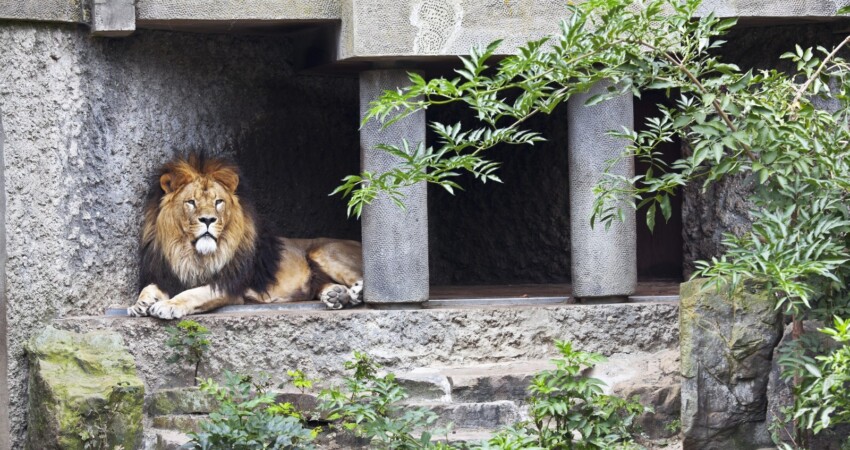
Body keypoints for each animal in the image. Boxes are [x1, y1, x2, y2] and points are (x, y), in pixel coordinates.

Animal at [127, 155, 362, 320]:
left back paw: (356, 292)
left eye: (218, 202)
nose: (208, 220)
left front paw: (168, 306)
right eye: (191, 202)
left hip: (323, 251)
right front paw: (139, 304)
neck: (190, 254)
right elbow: (150, 287)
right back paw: (336, 295)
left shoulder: (229, 285)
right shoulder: (168, 277)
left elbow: (194, 294)